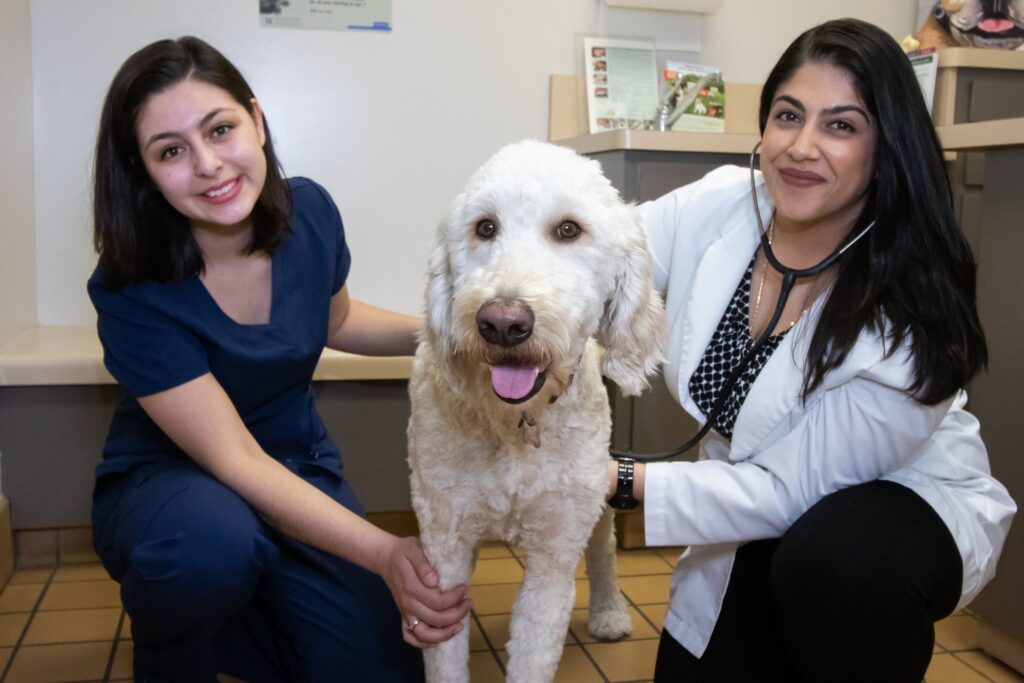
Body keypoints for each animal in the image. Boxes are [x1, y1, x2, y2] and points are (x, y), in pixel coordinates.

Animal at [405, 140, 663, 683]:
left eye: (568, 229)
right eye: (485, 227)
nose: (503, 323)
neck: (515, 424)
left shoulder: (554, 555)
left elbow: (535, 646)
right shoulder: (445, 548)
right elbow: (445, 655)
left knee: (605, 550)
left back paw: (609, 612)